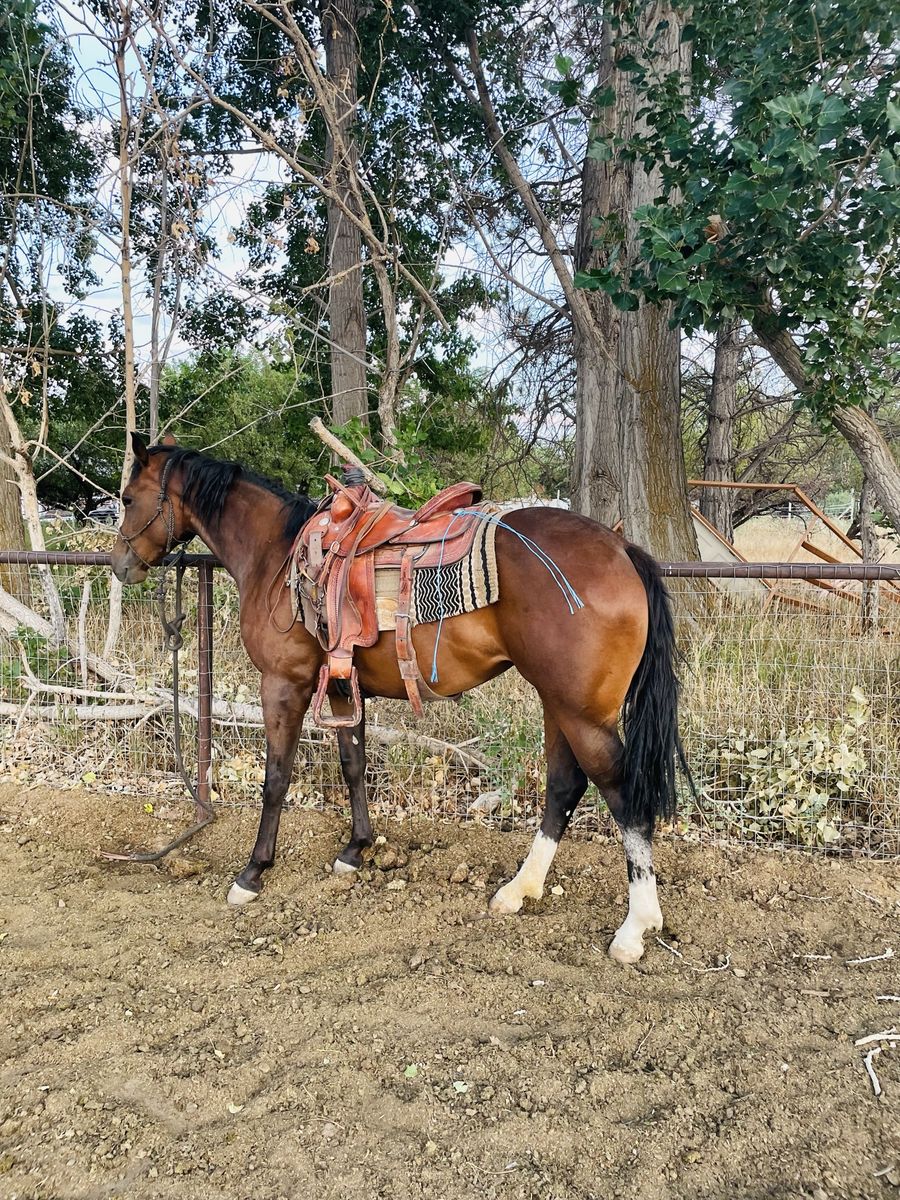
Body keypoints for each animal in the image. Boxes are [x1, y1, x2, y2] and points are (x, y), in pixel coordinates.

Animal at [111, 433, 689, 964]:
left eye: (127, 497)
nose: (119, 564)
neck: (276, 555)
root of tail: (621, 550)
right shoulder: (341, 685)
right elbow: (353, 764)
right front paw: (356, 849)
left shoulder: (283, 684)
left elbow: (276, 778)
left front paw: (253, 873)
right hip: (559, 704)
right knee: (564, 786)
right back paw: (520, 890)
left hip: (582, 713)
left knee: (620, 794)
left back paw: (636, 927)